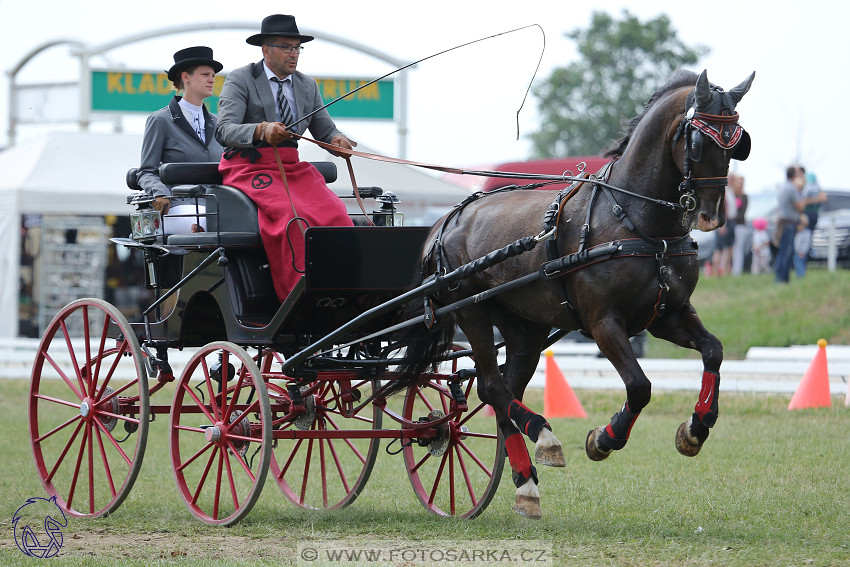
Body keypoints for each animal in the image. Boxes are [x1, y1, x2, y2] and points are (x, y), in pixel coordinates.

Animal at [394, 70, 752, 520]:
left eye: (738, 142)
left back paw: (525, 480)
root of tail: (444, 222)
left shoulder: (666, 315)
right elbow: (640, 386)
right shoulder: (603, 323)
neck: (635, 222)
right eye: (699, 141)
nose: (711, 216)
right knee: (492, 386)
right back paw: (543, 439)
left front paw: (696, 427)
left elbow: (713, 351)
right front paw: (604, 438)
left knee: (501, 391)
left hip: (525, 327)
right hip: (472, 313)